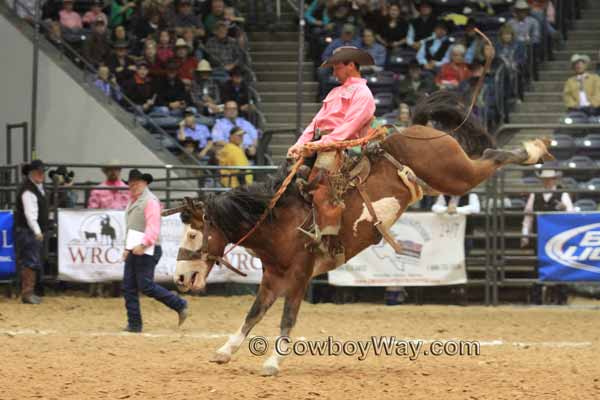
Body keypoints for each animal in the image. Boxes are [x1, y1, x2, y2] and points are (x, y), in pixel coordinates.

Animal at [161, 90, 552, 376]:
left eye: (193, 235)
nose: (179, 276)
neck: (278, 219)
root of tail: (415, 128)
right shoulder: (273, 276)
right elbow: (253, 314)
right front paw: (225, 350)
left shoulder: (300, 276)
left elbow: (287, 317)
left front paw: (272, 362)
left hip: (456, 174)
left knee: (492, 155)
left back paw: (534, 149)